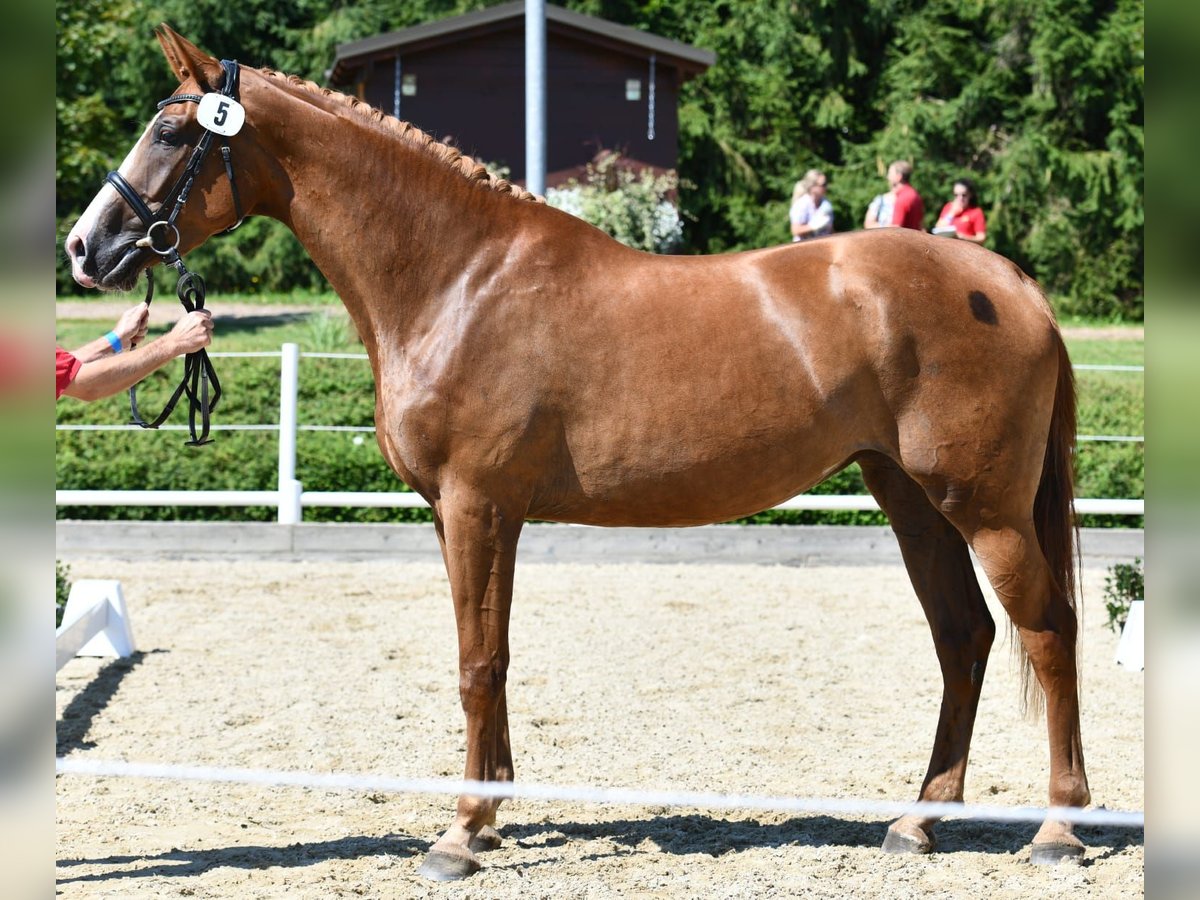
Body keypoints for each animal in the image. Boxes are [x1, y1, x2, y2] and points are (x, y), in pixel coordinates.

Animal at [68, 26, 1099, 883]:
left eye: (171, 132)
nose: (85, 247)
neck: (459, 278)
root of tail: (1010, 282)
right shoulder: (469, 513)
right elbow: (493, 654)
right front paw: (491, 818)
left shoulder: (477, 503)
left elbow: (476, 662)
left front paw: (459, 836)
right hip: (911, 500)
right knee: (963, 637)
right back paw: (918, 821)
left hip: (984, 508)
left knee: (1048, 632)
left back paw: (1058, 829)